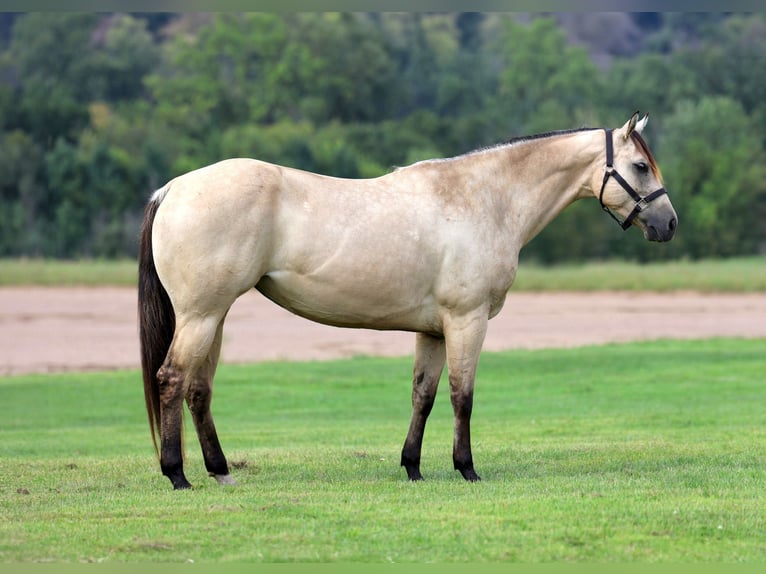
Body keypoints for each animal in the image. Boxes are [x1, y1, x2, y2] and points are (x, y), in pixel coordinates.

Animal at [138, 112, 677, 489]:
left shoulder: (432, 330)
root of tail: (173, 188)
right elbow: (462, 395)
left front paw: (413, 467)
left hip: (214, 317)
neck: (484, 199)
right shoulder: (466, 321)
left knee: (198, 390)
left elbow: (424, 395)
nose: (668, 224)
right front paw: (466, 469)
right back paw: (178, 474)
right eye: (639, 166)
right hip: (202, 315)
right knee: (172, 379)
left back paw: (220, 471)